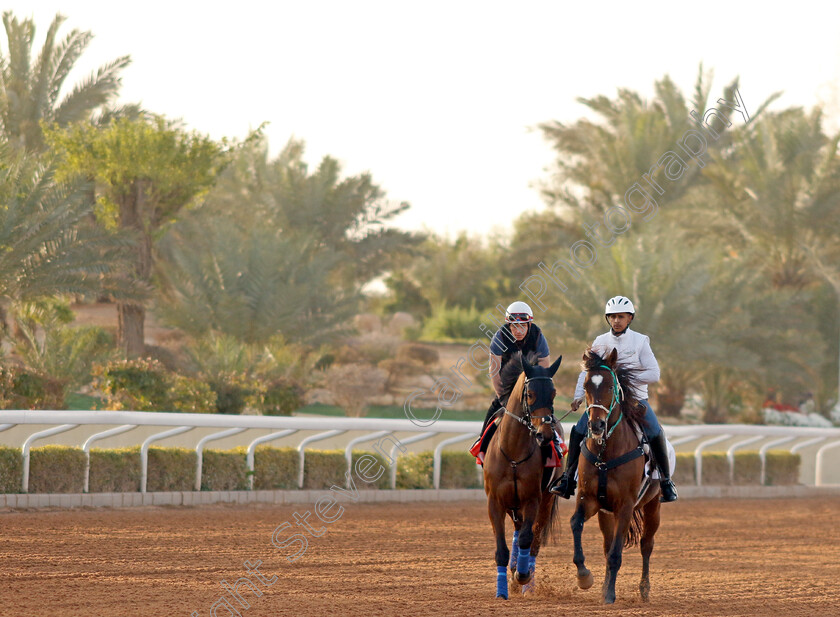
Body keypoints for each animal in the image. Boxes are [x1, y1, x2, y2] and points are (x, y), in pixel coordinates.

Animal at [482, 354, 560, 600]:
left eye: (553, 393)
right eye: (530, 393)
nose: (544, 435)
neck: (514, 453)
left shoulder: (532, 498)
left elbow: (528, 538)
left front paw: (523, 576)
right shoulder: (495, 501)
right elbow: (502, 549)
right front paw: (502, 591)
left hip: (546, 500)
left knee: (533, 539)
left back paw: (527, 582)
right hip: (512, 504)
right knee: (517, 530)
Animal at [572, 348, 664, 604]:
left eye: (611, 386)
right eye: (585, 385)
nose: (596, 425)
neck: (606, 451)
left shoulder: (625, 505)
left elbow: (616, 553)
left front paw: (610, 595)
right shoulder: (589, 499)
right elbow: (576, 524)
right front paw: (584, 576)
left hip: (653, 506)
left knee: (646, 545)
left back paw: (644, 589)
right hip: (606, 513)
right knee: (607, 544)